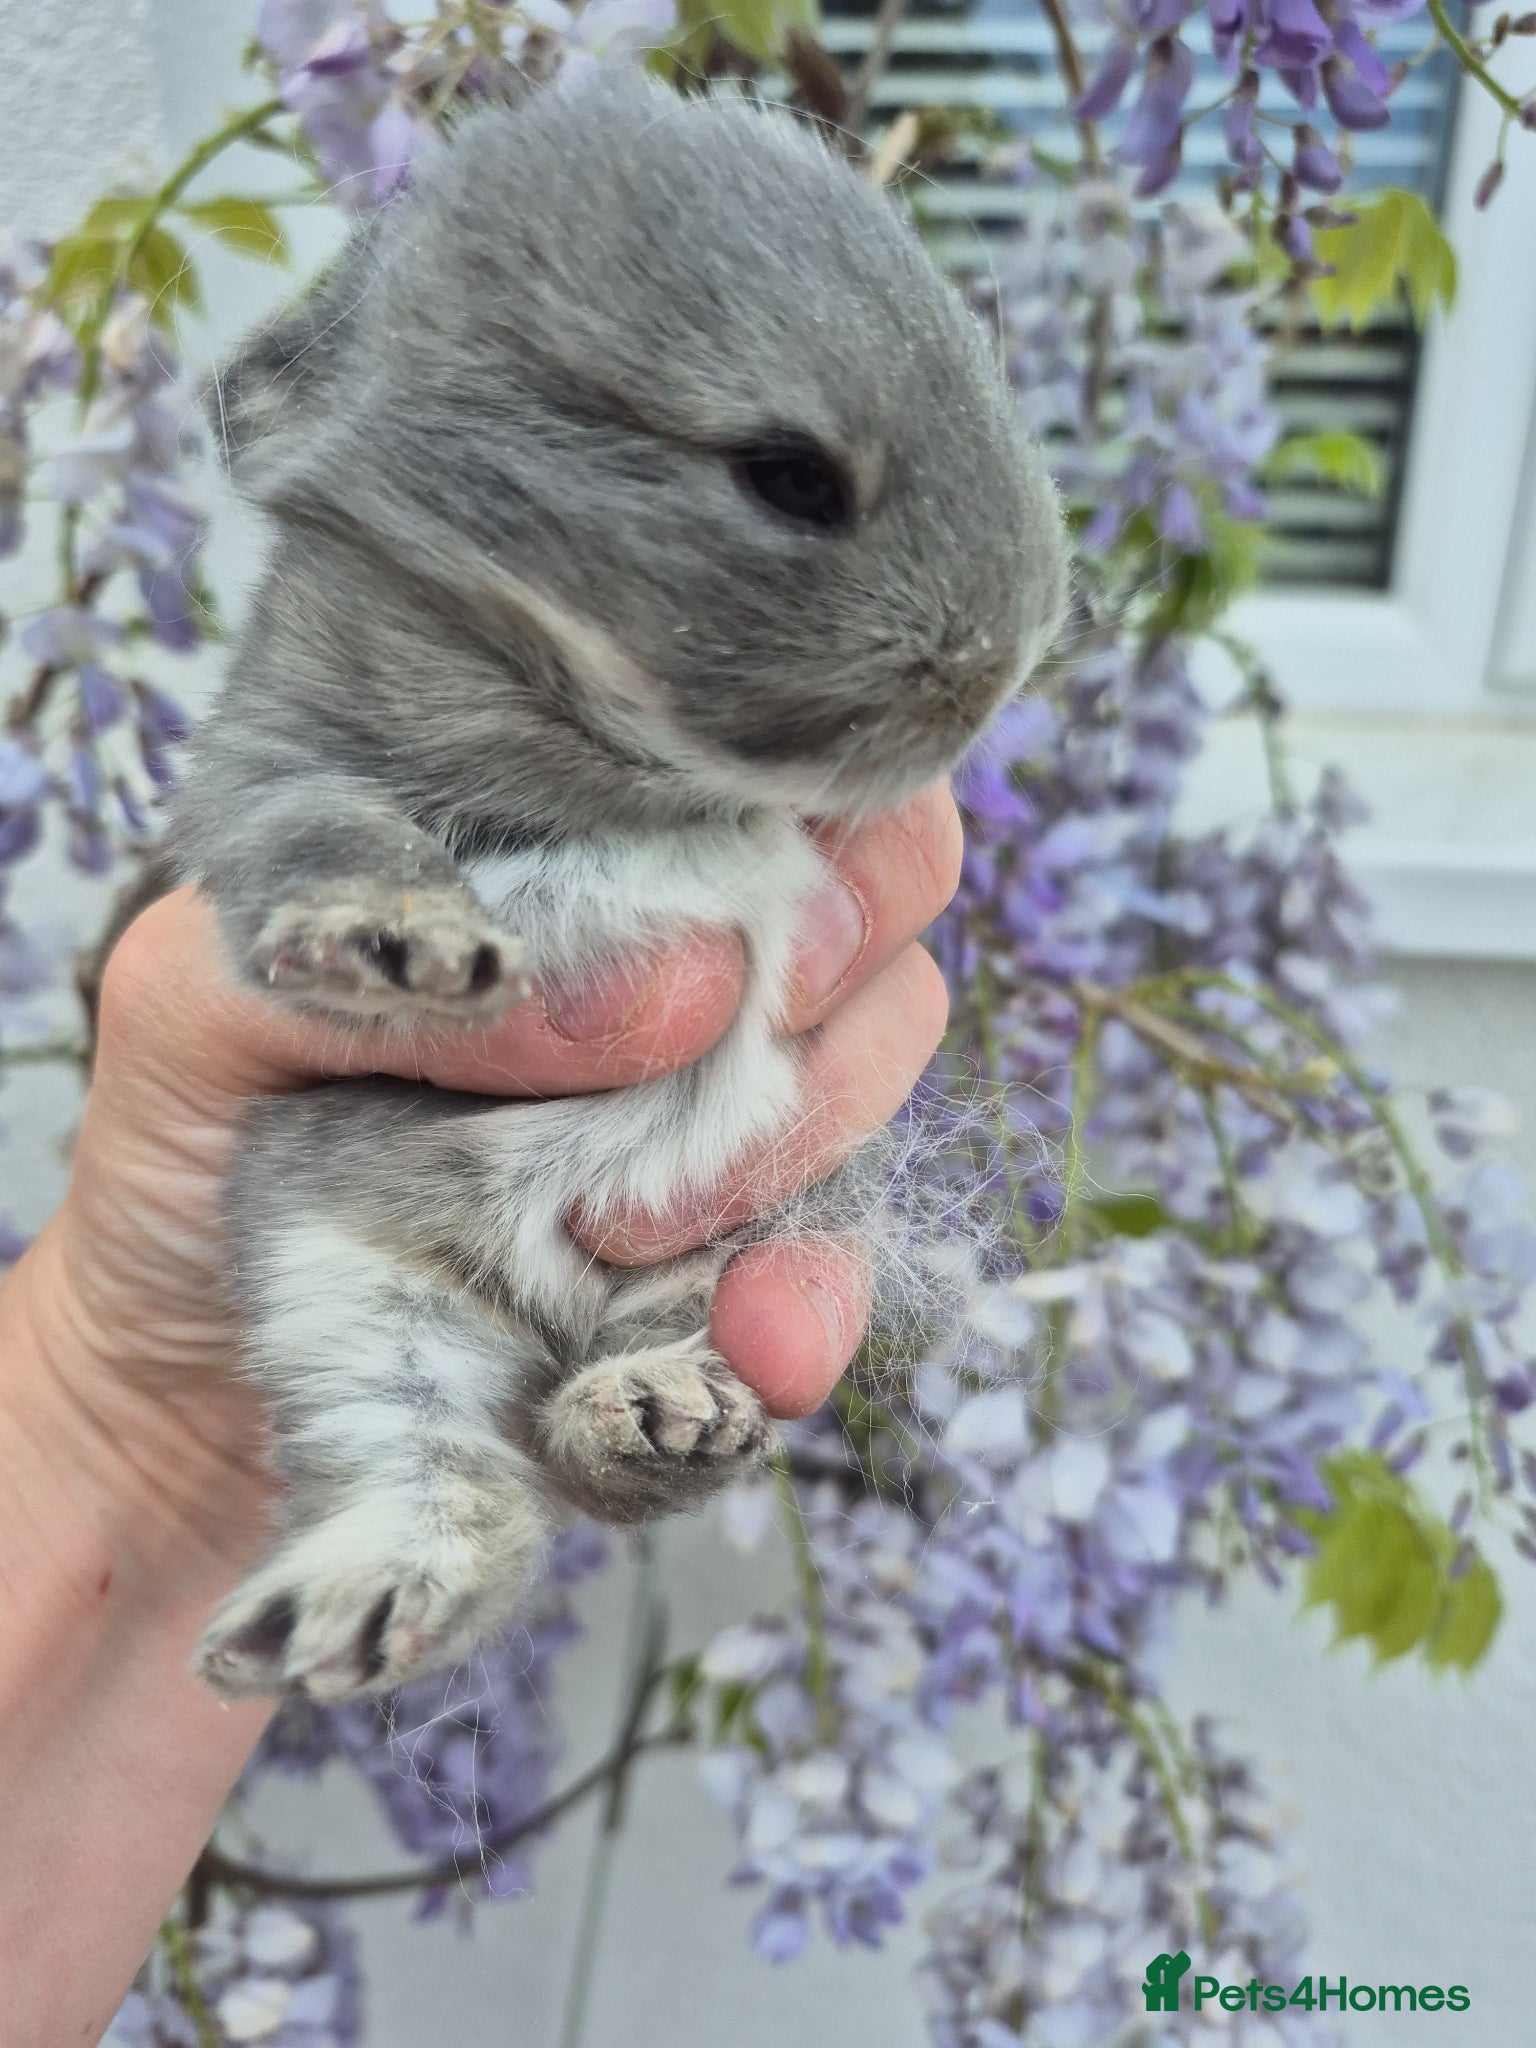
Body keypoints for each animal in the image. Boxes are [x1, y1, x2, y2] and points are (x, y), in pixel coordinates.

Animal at [171, 74, 1068, 1702]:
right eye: (787, 476)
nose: (1001, 665)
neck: (612, 729)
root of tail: (544, 1318)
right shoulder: (278, 760)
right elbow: (318, 832)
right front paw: (395, 943)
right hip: (335, 1268)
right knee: (446, 1472)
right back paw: (356, 1599)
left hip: (747, 1259)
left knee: (591, 1443)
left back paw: (654, 1417)